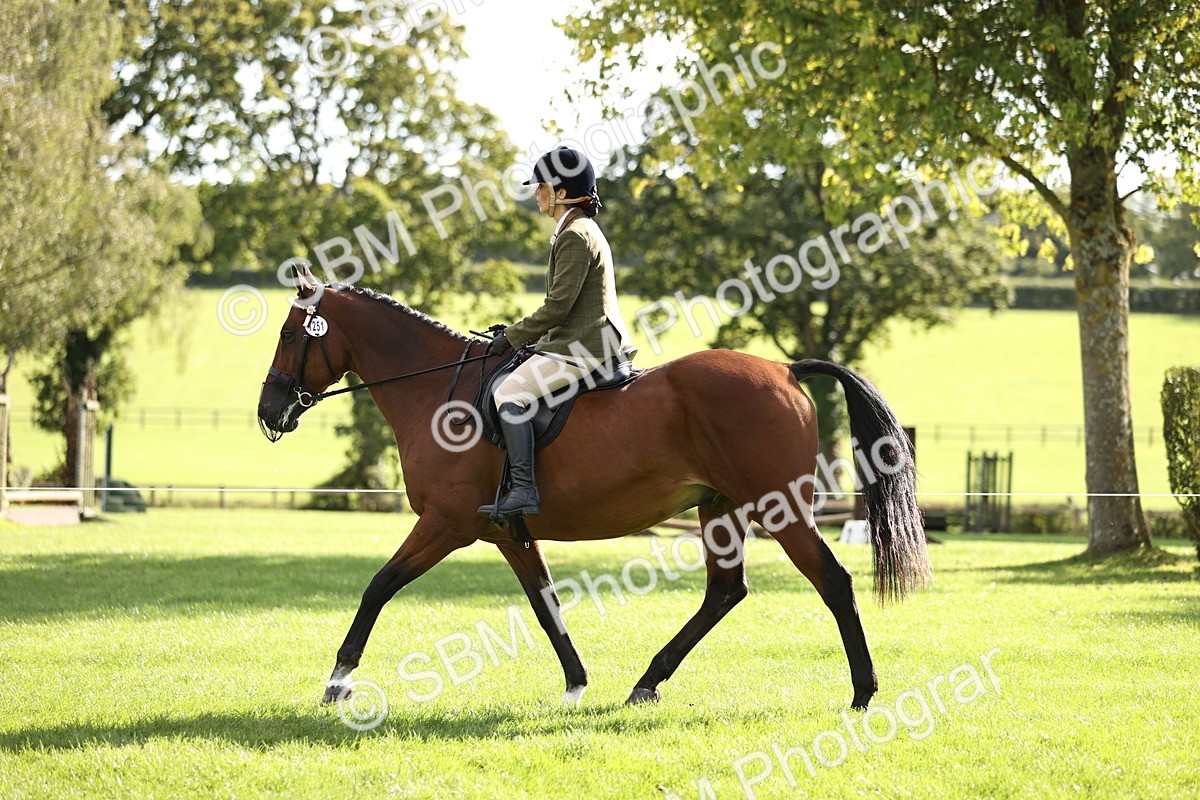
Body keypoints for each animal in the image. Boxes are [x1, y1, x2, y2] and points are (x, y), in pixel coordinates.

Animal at [256, 265, 930, 711]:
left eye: (290, 336)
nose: (269, 411)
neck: (435, 391)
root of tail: (785, 369)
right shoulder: (508, 533)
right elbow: (546, 606)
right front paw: (576, 684)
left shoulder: (446, 524)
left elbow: (379, 586)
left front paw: (338, 681)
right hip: (721, 509)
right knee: (725, 591)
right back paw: (647, 683)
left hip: (779, 508)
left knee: (832, 582)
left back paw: (863, 694)